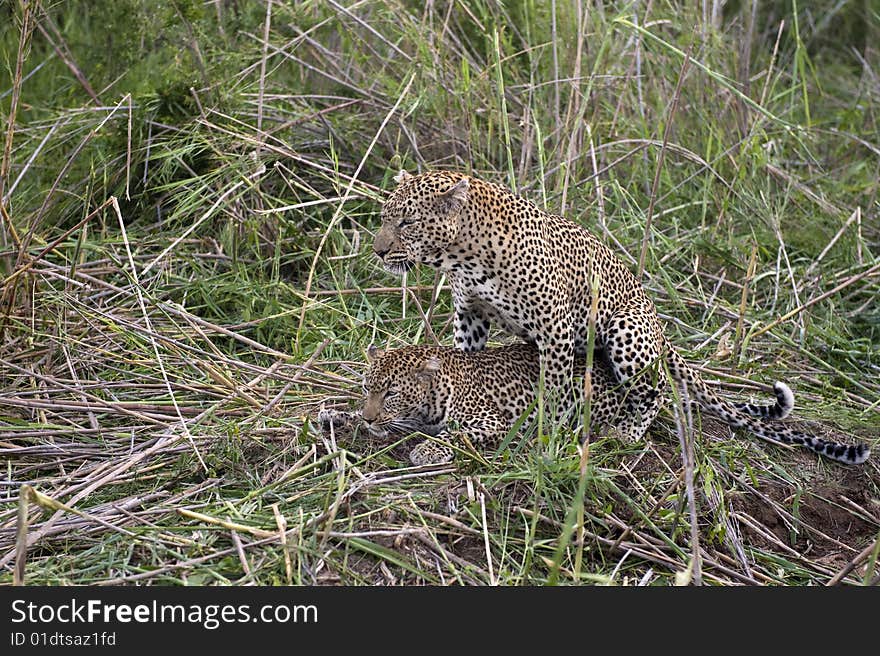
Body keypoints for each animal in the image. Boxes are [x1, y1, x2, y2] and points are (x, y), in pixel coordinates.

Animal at [322, 338, 796, 466]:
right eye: (367, 387)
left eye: (392, 392)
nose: (370, 416)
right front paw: (336, 414)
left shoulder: (491, 421)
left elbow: (453, 433)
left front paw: (426, 449)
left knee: (657, 397)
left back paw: (622, 431)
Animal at [370, 169, 868, 466]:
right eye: (384, 216)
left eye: (408, 223)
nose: (377, 250)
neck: (463, 253)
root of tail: (661, 328)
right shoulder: (470, 312)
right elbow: (465, 358)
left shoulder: (554, 325)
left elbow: (554, 387)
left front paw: (547, 432)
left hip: (624, 332)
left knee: (659, 392)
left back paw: (625, 433)